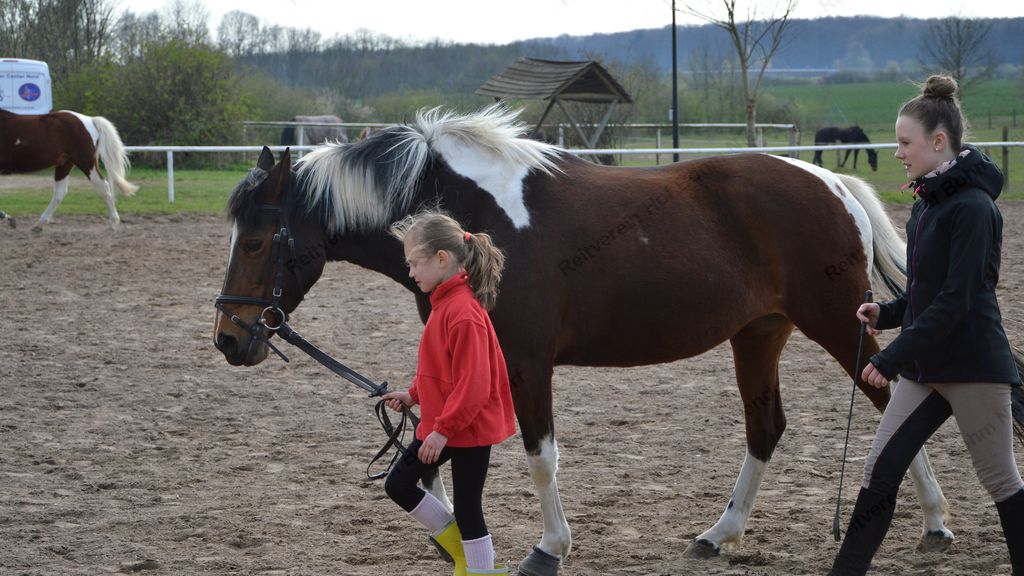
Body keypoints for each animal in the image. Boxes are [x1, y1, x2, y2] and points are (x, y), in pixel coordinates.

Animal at [0, 108, 138, 230]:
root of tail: (90, 120)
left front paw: (9, 219)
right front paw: (9, 219)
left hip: (86, 162)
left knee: (104, 187)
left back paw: (113, 222)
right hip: (65, 164)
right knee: (60, 193)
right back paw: (39, 225)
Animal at [213, 106, 960, 574]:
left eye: (256, 240)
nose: (228, 339)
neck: (477, 220)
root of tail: (831, 181)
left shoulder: (526, 363)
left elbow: (540, 457)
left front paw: (548, 547)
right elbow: (433, 448)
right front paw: (448, 533)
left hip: (837, 323)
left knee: (888, 402)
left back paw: (935, 523)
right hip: (759, 334)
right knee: (767, 427)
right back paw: (717, 536)